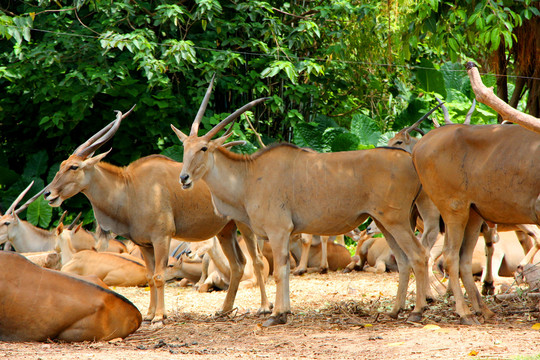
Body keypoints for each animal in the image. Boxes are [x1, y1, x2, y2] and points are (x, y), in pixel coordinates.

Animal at [44, 105, 270, 324]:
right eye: (62, 165)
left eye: (74, 166)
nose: (48, 193)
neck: (130, 188)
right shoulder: (145, 245)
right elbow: (150, 276)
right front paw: (149, 315)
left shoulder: (161, 238)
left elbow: (160, 276)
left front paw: (160, 317)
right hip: (225, 230)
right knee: (237, 264)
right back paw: (224, 310)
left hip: (245, 226)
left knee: (257, 261)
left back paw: (264, 308)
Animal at [172, 78, 430, 326]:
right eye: (185, 147)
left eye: (204, 148)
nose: (183, 178)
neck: (249, 176)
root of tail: (410, 162)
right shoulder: (285, 234)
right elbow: (286, 270)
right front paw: (285, 312)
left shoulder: (278, 231)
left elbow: (279, 273)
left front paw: (275, 315)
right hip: (384, 223)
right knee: (404, 260)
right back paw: (395, 311)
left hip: (396, 221)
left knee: (419, 254)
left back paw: (417, 311)